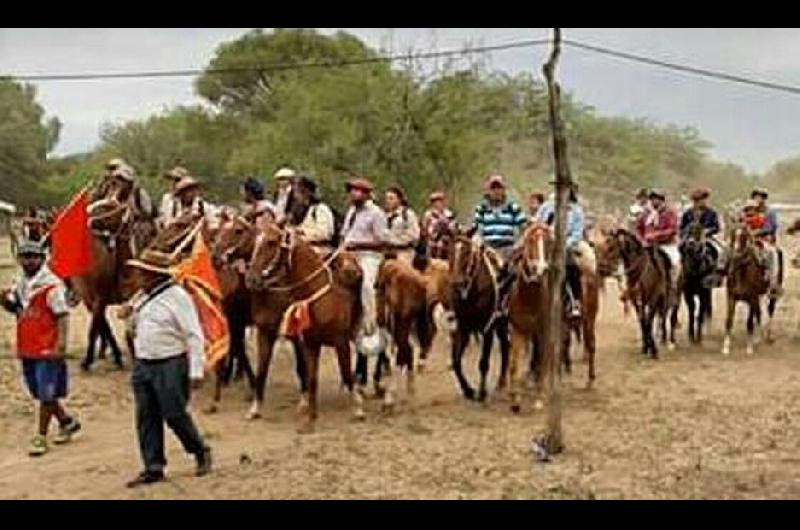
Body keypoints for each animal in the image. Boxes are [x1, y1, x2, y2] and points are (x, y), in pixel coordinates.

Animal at [245, 221, 364, 432]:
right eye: (255, 240)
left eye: (271, 242)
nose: (251, 279)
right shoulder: (309, 343)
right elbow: (311, 379)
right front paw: (310, 419)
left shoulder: (340, 341)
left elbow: (346, 373)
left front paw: (357, 409)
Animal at [446, 228, 510, 400]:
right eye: (449, 251)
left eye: (468, 252)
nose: (457, 283)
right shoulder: (463, 327)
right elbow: (456, 361)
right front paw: (468, 390)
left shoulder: (487, 328)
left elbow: (483, 362)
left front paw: (481, 392)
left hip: (502, 322)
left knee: (505, 345)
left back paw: (502, 382)